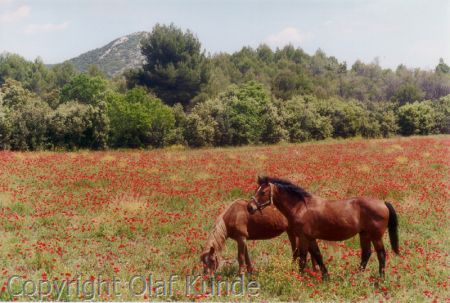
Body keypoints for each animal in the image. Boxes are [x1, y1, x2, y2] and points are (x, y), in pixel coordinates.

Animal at [248, 177, 400, 280]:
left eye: (263, 192)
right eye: (256, 190)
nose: (250, 207)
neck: (301, 207)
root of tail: (383, 203)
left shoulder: (303, 238)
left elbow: (303, 258)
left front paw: (301, 277)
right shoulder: (310, 238)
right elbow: (317, 255)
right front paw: (326, 276)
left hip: (375, 236)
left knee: (381, 254)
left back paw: (381, 278)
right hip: (364, 234)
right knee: (366, 254)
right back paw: (357, 276)